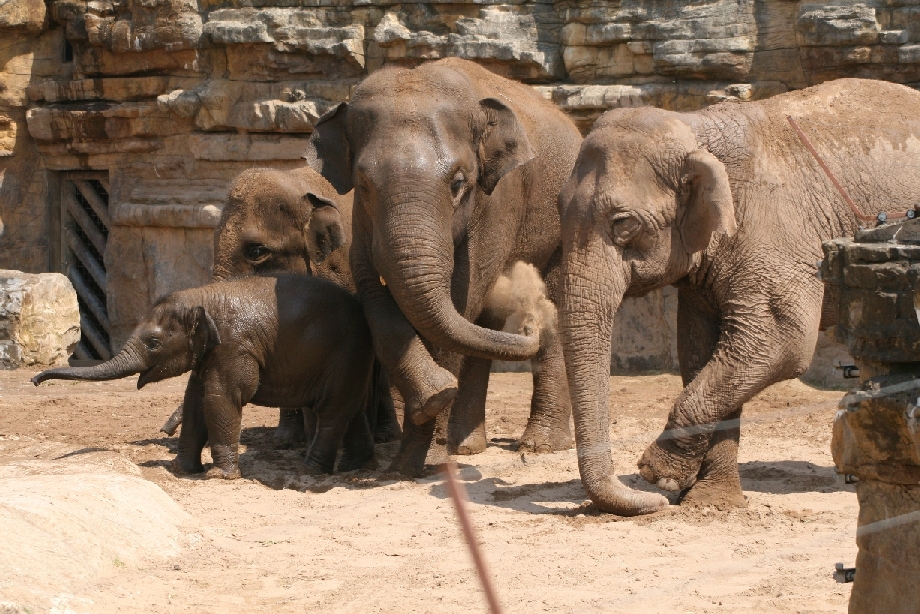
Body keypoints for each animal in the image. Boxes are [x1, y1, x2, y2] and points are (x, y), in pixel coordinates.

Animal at [34, 274, 377, 477]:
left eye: (153, 343)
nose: (34, 380)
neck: (201, 297)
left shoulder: (233, 347)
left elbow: (220, 399)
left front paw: (219, 476)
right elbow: (194, 401)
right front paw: (182, 470)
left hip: (346, 354)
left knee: (332, 412)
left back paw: (309, 472)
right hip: (353, 360)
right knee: (353, 410)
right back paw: (355, 467)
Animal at [304, 57, 587, 475]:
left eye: (458, 183)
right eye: (364, 184)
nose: (529, 322)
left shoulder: (499, 198)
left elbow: (461, 297)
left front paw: (421, 461)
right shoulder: (362, 217)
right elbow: (373, 292)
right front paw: (429, 410)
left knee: (544, 300)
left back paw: (539, 445)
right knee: (483, 323)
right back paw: (467, 447)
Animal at [557, 78, 920, 514]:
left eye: (623, 223)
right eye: (557, 209)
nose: (652, 502)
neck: (695, 127)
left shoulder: (777, 235)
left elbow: (780, 342)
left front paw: (660, 476)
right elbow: (702, 349)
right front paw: (711, 503)